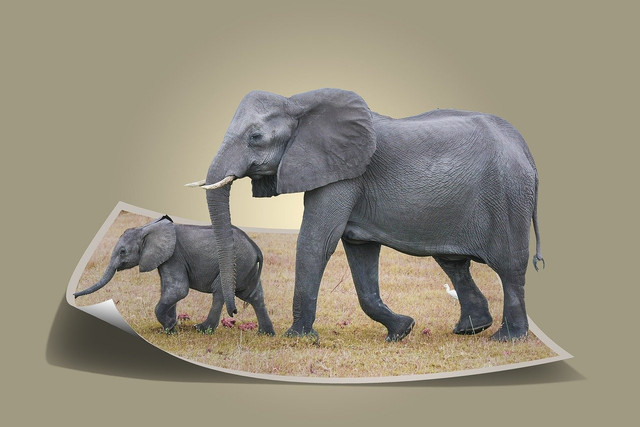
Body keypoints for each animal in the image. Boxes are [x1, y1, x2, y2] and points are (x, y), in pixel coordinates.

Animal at [74, 215, 275, 335]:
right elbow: (169, 290)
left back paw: (202, 329)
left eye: (123, 252)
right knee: (253, 295)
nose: (74, 296)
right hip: (246, 268)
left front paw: (169, 327)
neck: (148, 228)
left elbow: (178, 290)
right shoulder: (166, 259)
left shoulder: (174, 256)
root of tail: (255, 248)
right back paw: (265, 333)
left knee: (220, 292)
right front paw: (170, 328)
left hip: (237, 263)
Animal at [188, 88, 544, 342]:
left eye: (256, 138)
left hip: (509, 196)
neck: (298, 103)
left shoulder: (344, 174)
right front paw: (402, 330)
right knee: (453, 263)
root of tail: (525, 148)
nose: (234, 312)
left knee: (510, 267)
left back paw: (506, 339)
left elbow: (317, 242)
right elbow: (359, 253)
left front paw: (297, 338)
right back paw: (470, 329)